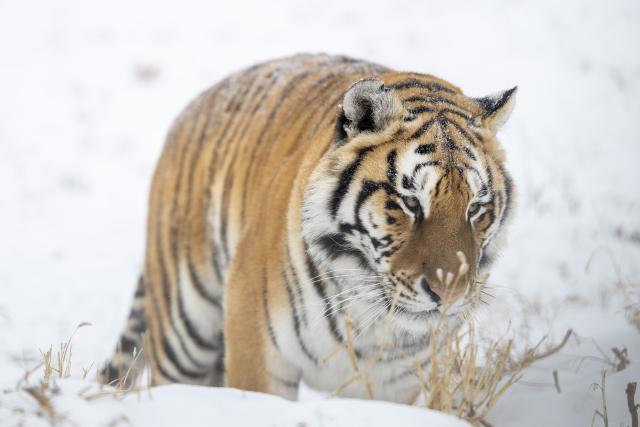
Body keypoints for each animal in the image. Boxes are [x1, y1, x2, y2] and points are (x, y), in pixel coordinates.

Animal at [103, 53, 516, 403]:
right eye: (410, 202)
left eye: (475, 208)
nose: (450, 295)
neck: (369, 316)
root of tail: (196, 105)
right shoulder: (258, 353)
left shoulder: (397, 383)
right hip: (183, 334)